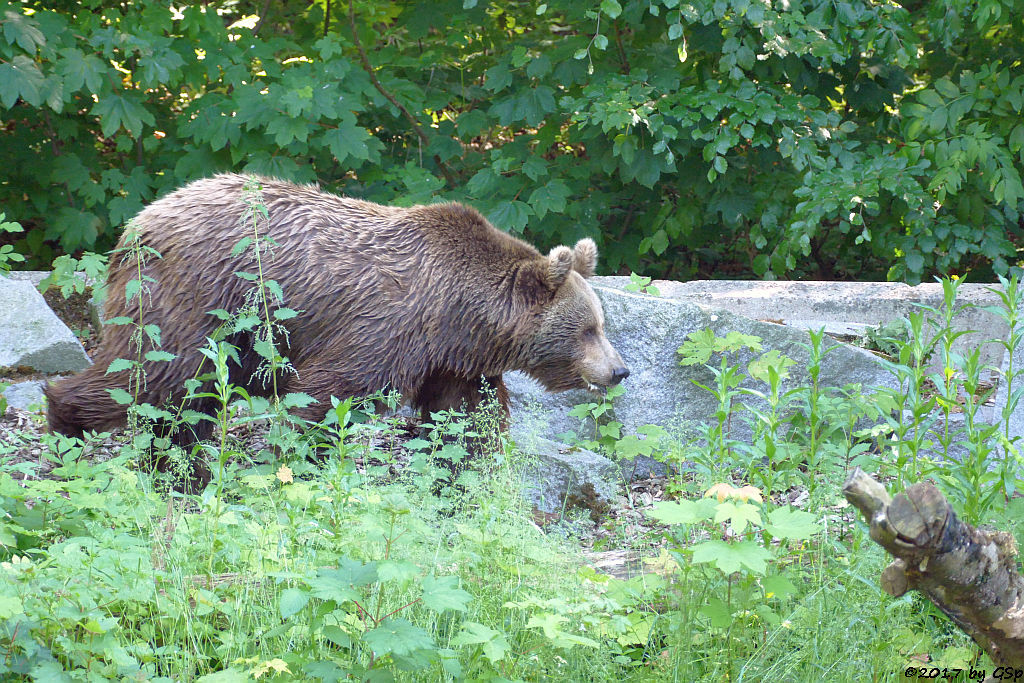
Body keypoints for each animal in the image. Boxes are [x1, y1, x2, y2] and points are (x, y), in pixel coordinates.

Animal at [44, 174, 626, 464]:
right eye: (589, 328)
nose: (620, 370)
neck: (459, 316)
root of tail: (139, 221)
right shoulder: (387, 325)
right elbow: (328, 395)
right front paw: (306, 459)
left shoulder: (451, 361)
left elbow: (466, 418)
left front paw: (471, 470)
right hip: (199, 296)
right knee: (156, 374)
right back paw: (67, 424)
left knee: (187, 397)